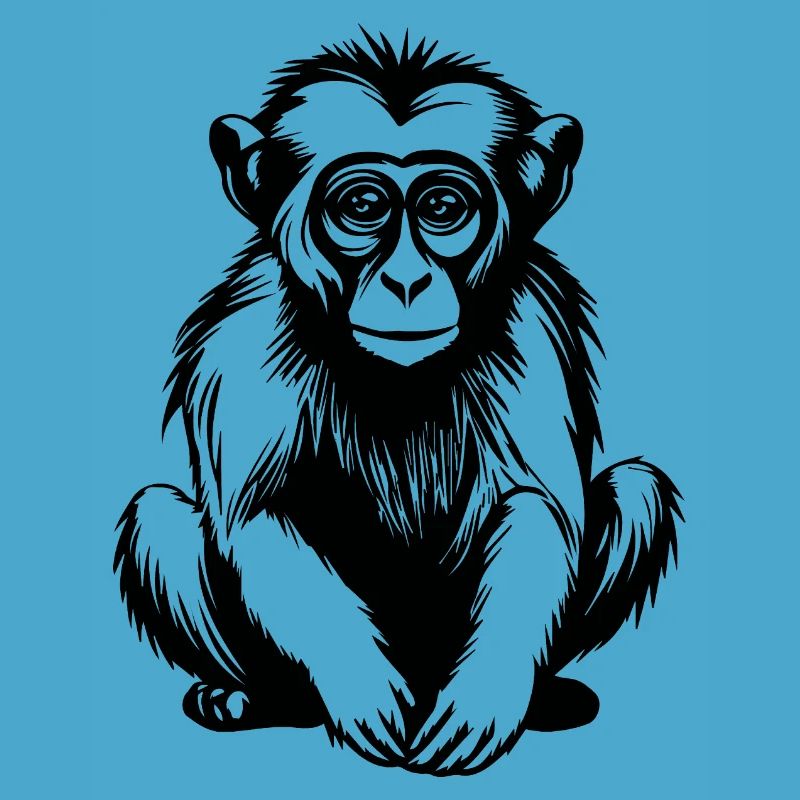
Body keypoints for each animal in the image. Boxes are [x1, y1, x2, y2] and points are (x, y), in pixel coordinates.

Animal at [114, 33, 682, 776]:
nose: (407, 280)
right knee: (159, 520)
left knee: (637, 489)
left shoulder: (532, 316)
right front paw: (361, 684)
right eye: (362, 206)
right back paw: (247, 696)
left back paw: (549, 695)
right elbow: (261, 511)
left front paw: (486, 694)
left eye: (442, 208)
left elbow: (538, 505)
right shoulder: (244, 333)